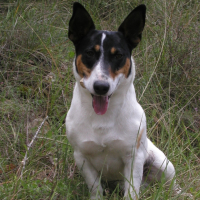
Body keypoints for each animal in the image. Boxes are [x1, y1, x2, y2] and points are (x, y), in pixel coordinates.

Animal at [65, 2, 180, 199]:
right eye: (89, 53)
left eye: (118, 55)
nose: (101, 87)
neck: (103, 118)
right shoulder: (81, 157)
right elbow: (95, 188)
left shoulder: (134, 157)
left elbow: (132, 191)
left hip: (163, 164)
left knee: (172, 185)